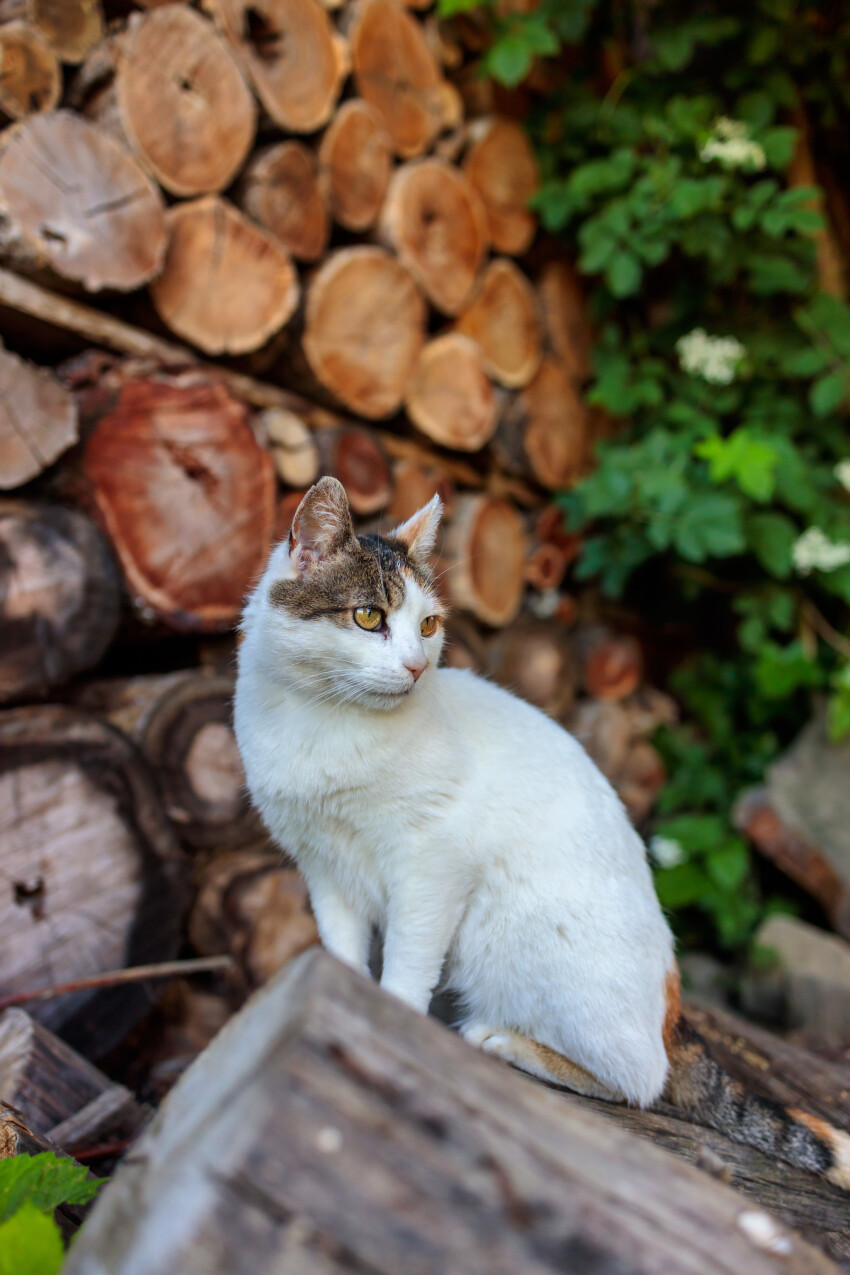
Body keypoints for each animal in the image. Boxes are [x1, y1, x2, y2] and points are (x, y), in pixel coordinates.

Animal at [235, 476, 850, 1183]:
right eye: (368, 617)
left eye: (427, 625)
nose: (417, 667)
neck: (324, 722)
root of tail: (672, 1009)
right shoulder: (324, 870)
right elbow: (341, 950)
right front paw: (343, 999)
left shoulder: (432, 869)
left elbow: (407, 966)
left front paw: (395, 1025)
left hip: (514, 943)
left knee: (641, 1080)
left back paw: (505, 1041)